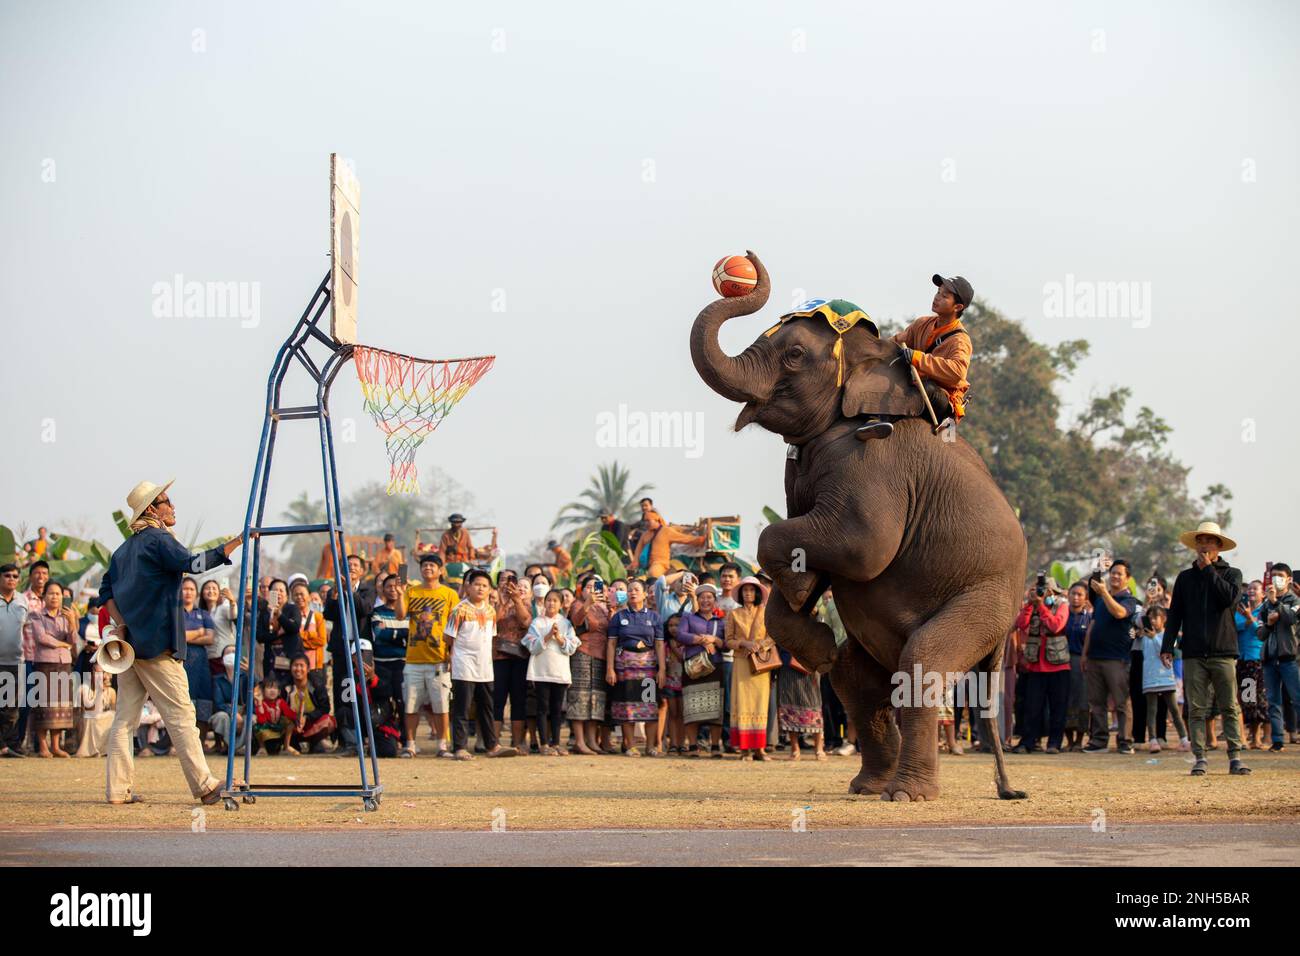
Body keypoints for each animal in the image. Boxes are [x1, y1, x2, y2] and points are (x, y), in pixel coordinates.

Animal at [689, 252, 1028, 802]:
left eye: (794, 355)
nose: (744, 262)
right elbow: (814, 551)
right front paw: (811, 623)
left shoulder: (876, 463)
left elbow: (858, 547)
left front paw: (800, 593)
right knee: (854, 676)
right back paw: (868, 783)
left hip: (988, 602)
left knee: (921, 664)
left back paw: (908, 794)